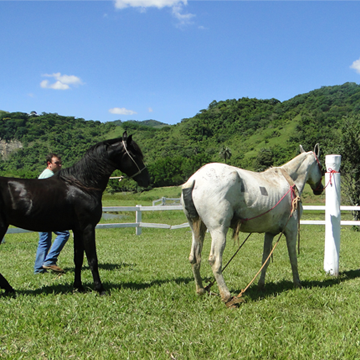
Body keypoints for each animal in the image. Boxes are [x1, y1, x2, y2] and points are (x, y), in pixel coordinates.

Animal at [0, 132, 150, 296]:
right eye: (135, 155)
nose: (147, 180)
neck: (83, 184)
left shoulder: (78, 230)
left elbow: (78, 258)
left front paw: (78, 287)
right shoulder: (88, 228)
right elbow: (92, 259)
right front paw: (100, 289)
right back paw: (8, 288)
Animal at [181, 145, 324, 302]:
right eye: (321, 167)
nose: (320, 189)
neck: (288, 182)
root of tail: (195, 180)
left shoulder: (270, 232)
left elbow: (265, 259)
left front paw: (261, 285)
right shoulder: (291, 230)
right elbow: (293, 258)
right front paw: (297, 283)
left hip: (197, 228)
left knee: (195, 258)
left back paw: (201, 290)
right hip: (218, 231)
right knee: (215, 261)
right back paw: (227, 296)